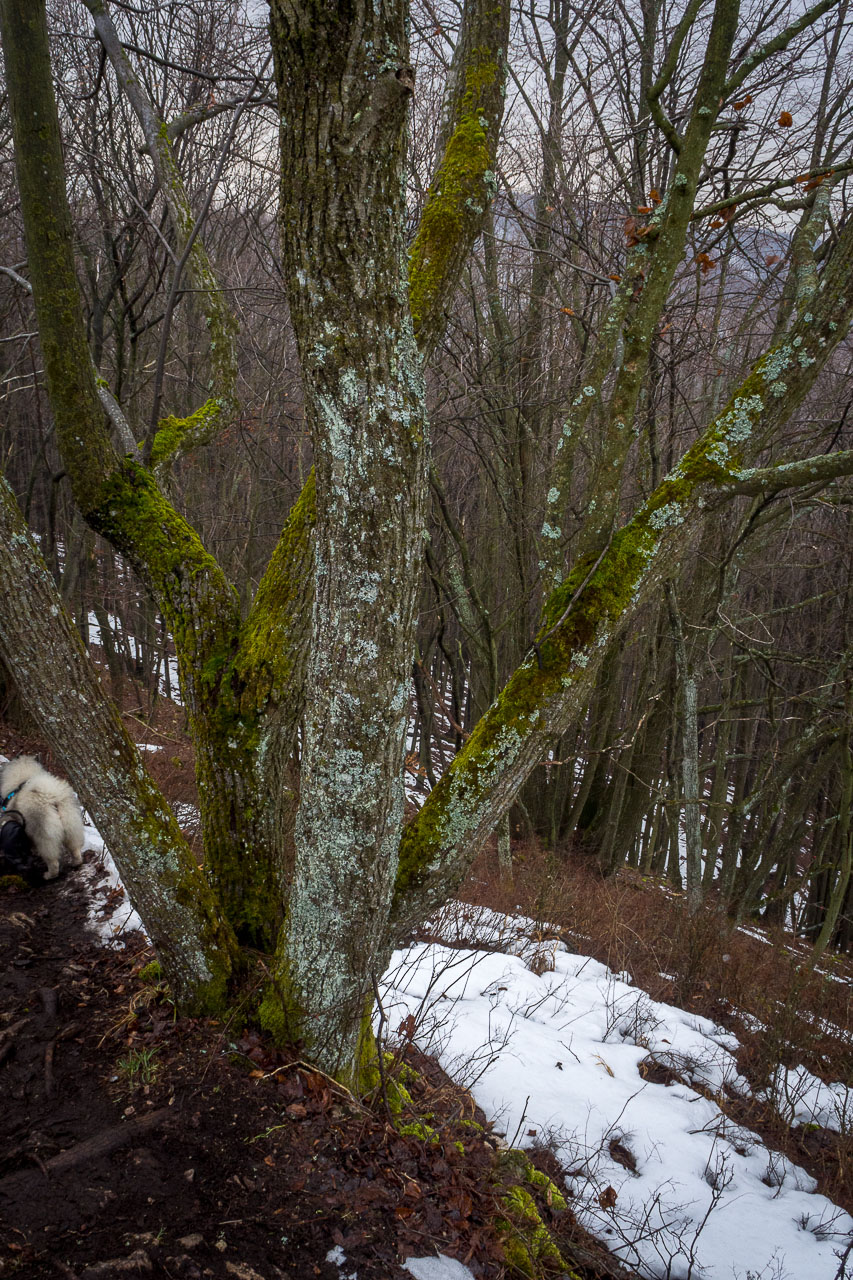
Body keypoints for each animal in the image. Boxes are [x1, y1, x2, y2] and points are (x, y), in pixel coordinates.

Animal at [0, 752, 85, 885]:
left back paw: (48, 875)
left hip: (44, 838)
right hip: (72, 824)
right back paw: (76, 863)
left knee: (53, 862)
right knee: (75, 849)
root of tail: (51, 797)